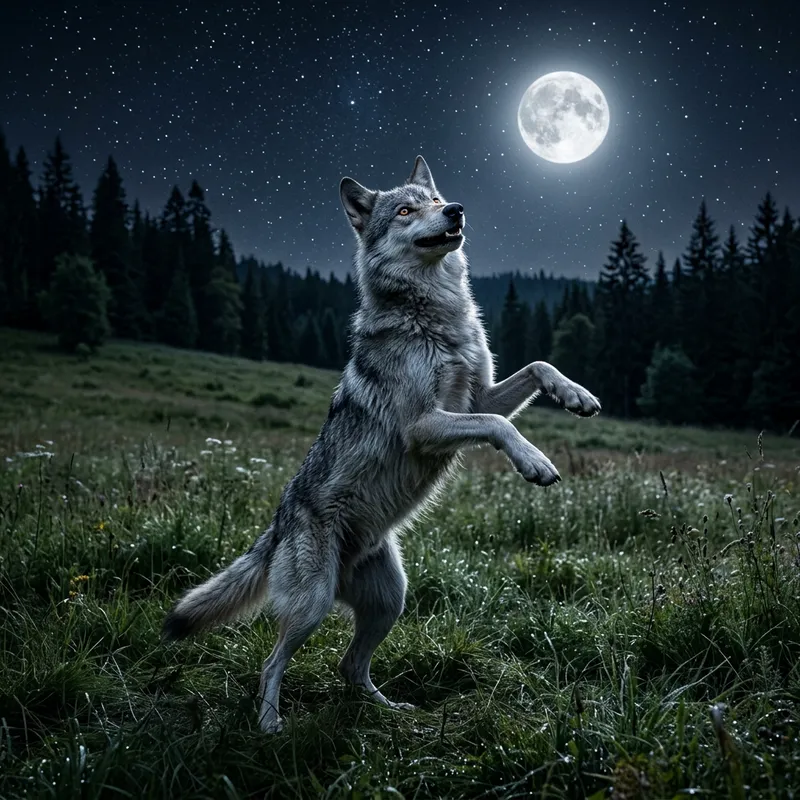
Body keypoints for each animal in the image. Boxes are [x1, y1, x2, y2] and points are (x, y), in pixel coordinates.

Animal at [163, 156, 601, 733]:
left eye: (434, 201)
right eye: (405, 212)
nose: (456, 208)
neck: (434, 314)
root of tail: (277, 526)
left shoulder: (478, 393)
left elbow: (537, 367)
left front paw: (577, 395)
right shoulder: (425, 424)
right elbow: (497, 425)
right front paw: (536, 462)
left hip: (392, 599)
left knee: (349, 666)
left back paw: (390, 712)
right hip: (312, 606)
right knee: (270, 662)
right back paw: (271, 726)